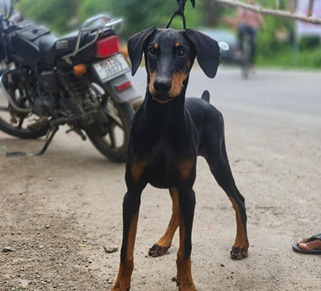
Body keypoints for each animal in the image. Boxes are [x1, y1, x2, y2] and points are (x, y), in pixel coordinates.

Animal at [111, 26, 249, 290]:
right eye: (152, 51)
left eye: (181, 51)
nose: (161, 85)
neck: (163, 122)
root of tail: (205, 100)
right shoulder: (131, 193)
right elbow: (125, 249)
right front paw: (120, 284)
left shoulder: (188, 191)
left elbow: (186, 249)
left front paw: (186, 283)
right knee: (176, 210)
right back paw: (162, 243)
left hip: (218, 161)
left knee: (238, 199)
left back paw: (241, 245)